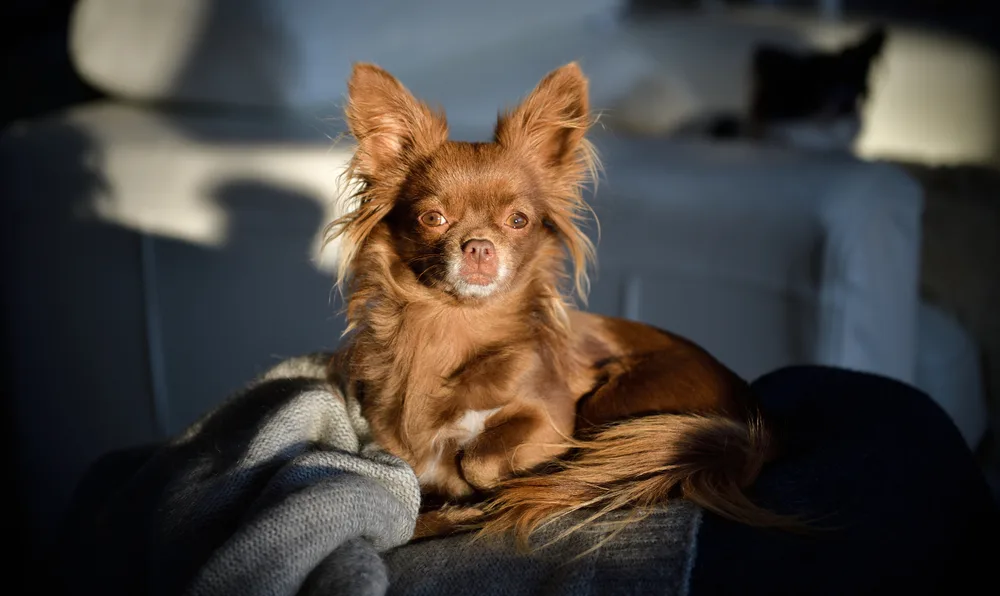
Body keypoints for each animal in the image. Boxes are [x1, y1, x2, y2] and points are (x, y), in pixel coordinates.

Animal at [326, 60, 788, 544]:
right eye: (433, 218)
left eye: (518, 221)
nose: (479, 246)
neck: (454, 327)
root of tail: (757, 421)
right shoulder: (396, 452)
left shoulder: (552, 414)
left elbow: (481, 457)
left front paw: (498, 491)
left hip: (620, 397)